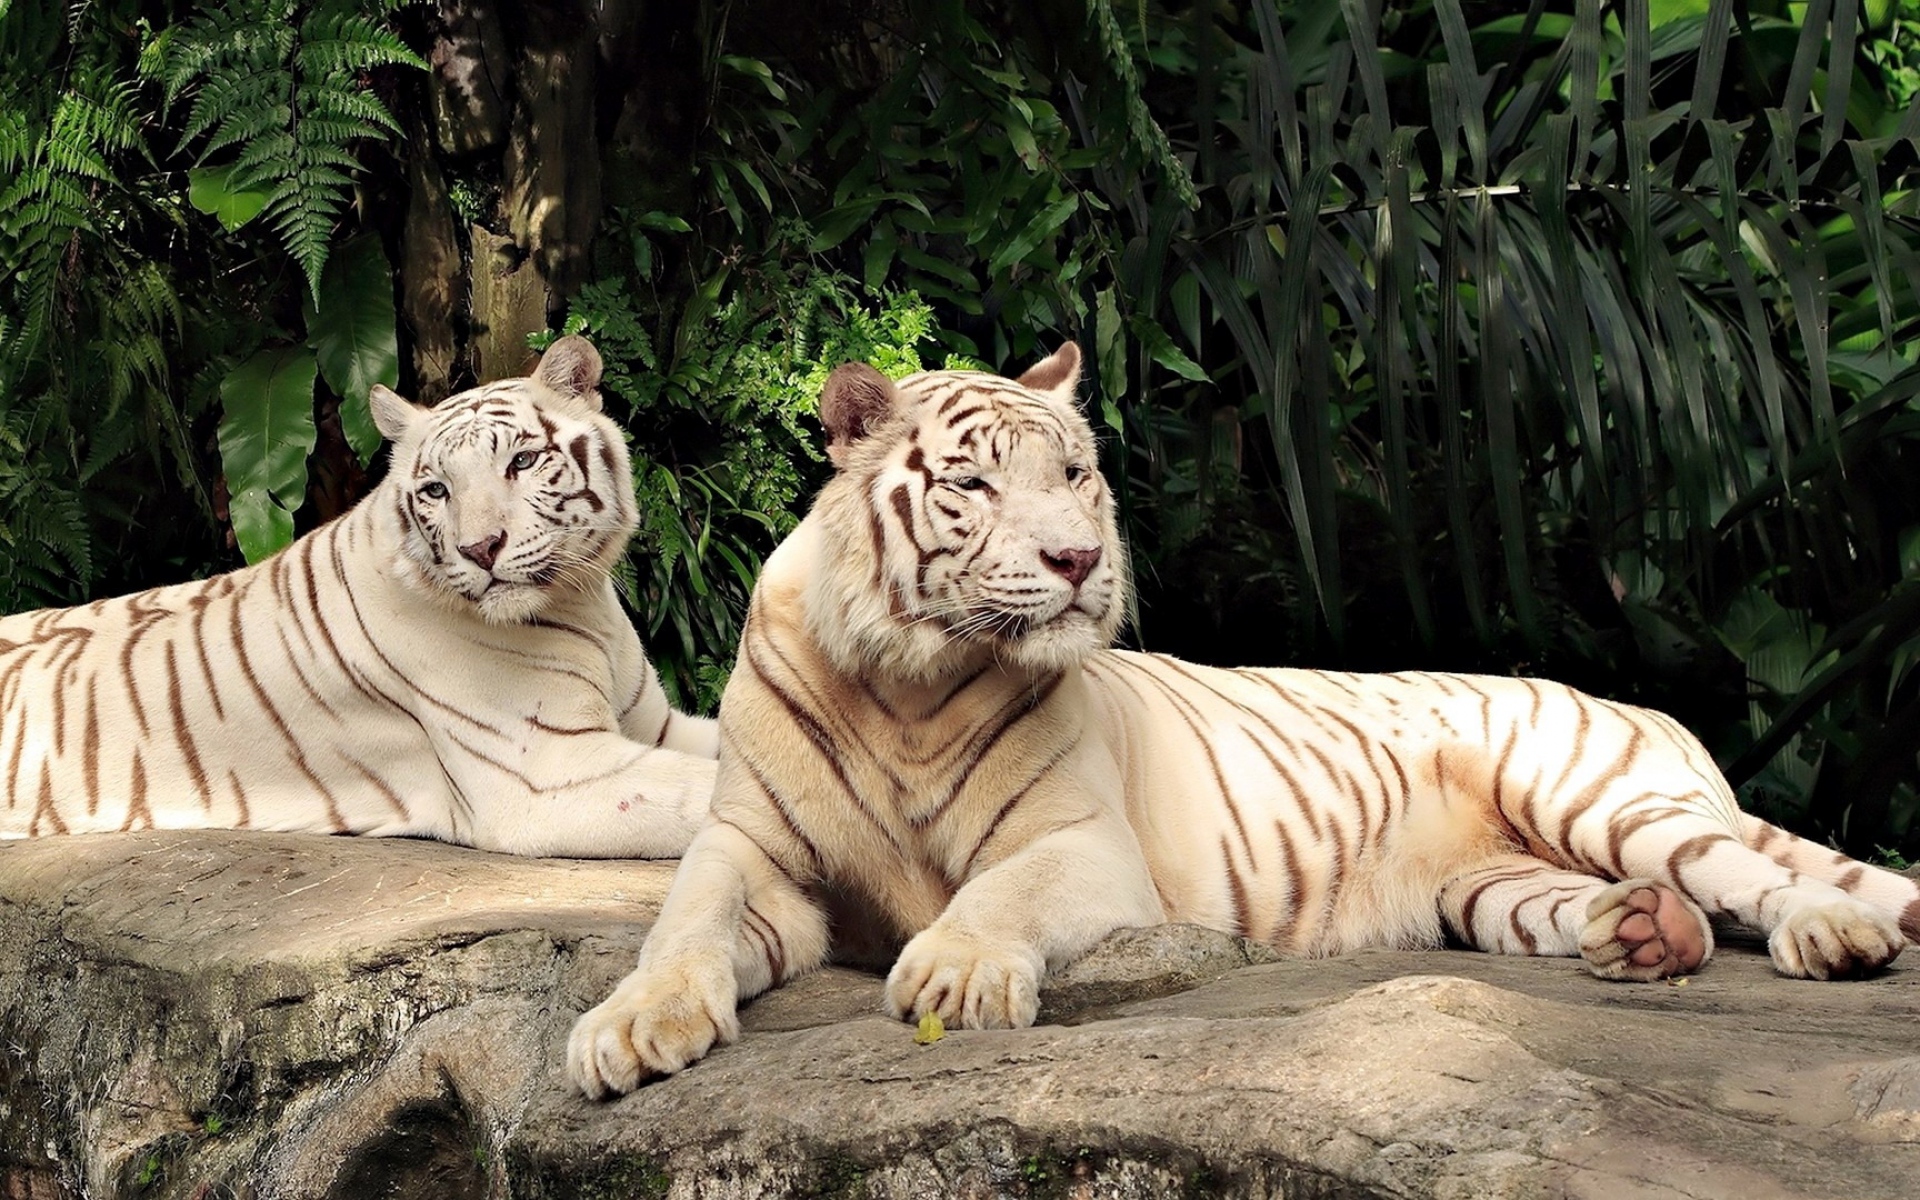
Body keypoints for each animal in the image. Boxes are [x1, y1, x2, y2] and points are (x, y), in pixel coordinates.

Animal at [0, 335, 717, 857]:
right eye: (436, 490)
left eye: (522, 462)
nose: (480, 549)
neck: (580, 600)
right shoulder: (549, 771)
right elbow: (711, 794)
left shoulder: (656, 725)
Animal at [566, 342, 1920, 1098]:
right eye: (973, 485)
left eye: (1075, 474)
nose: (1077, 560)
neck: (904, 679)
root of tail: (1648, 708)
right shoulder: (753, 849)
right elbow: (682, 923)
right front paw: (627, 1032)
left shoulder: (1078, 845)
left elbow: (995, 896)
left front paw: (955, 970)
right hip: (1490, 886)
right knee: (1624, 905)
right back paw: (1646, 937)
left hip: (1598, 794)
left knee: (1756, 872)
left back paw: (1832, 937)